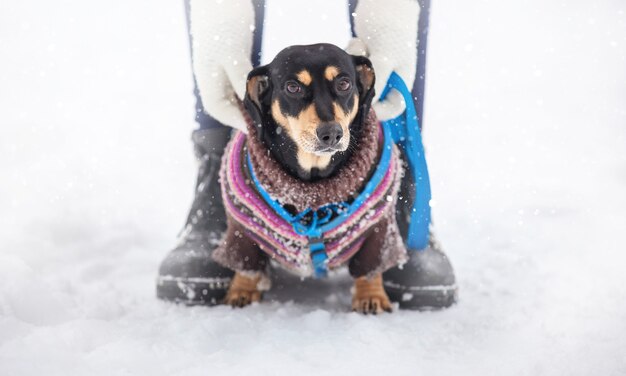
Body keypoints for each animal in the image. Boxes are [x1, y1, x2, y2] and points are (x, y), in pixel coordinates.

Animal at [212, 43, 408, 314]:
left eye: (344, 83)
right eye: (293, 87)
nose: (332, 133)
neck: (313, 187)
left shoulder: (379, 229)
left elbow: (370, 267)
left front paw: (371, 296)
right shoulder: (243, 230)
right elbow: (246, 264)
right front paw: (242, 291)